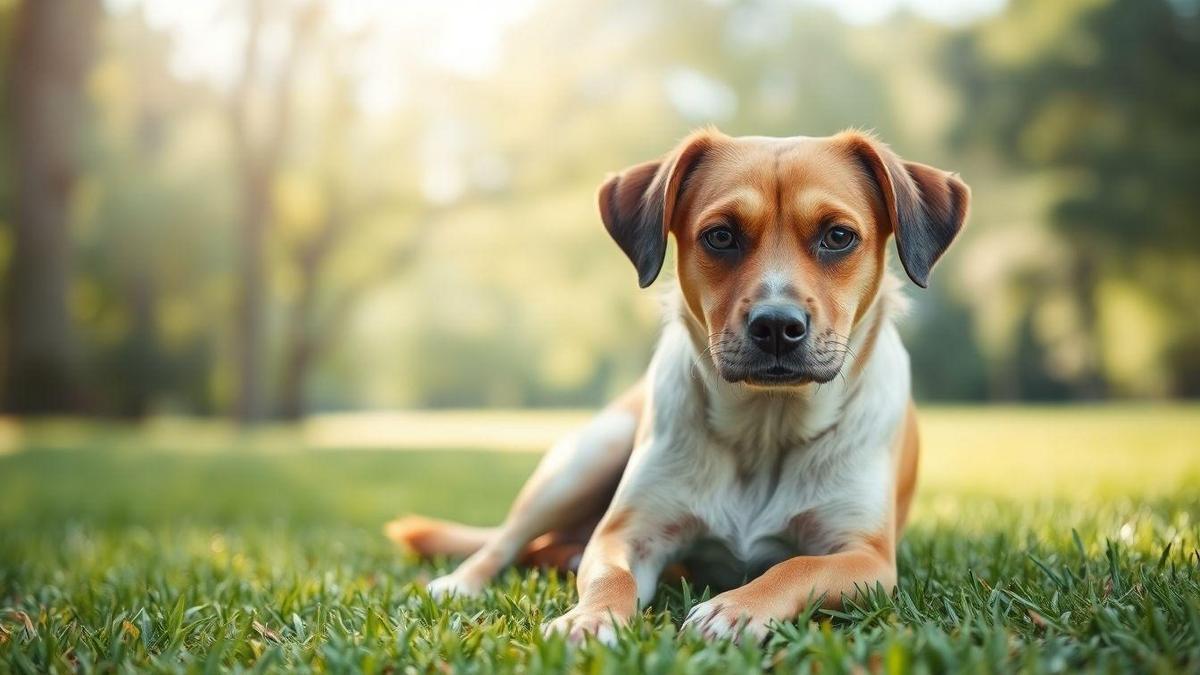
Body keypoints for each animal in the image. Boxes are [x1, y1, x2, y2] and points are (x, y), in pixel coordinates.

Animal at [388, 127, 969, 638]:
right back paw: (461, 582)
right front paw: (587, 620)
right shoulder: (629, 535)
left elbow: (796, 567)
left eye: (838, 236)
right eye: (721, 235)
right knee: (506, 542)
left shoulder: (864, 557)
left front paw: (736, 608)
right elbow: (610, 579)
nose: (776, 326)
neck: (765, 428)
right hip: (587, 459)